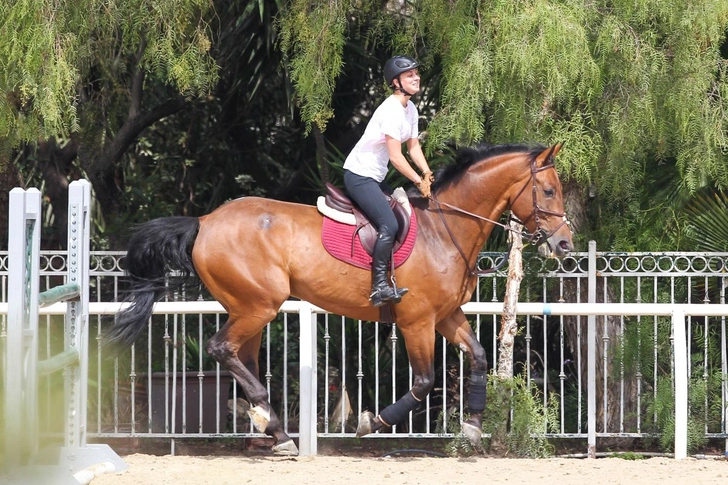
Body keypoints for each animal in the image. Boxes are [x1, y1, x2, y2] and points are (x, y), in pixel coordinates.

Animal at [106, 140, 576, 454]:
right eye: (549, 191)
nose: (565, 244)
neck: (445, 229)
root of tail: (204, 220)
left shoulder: (446, 316)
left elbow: (478, 357)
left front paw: (473, 427)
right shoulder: (417, 321)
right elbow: (424, 382)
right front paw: (371, 422)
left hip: (249, 308)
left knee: (242, 357)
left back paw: (273, 429)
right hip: (259, 305)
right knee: (221, 348)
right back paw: (274, 427)